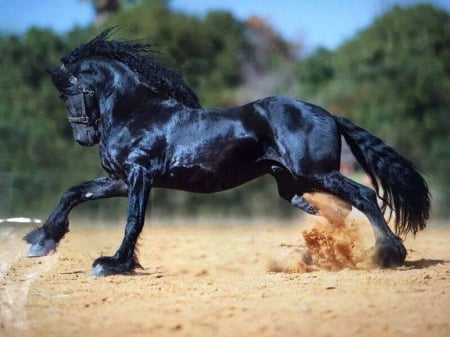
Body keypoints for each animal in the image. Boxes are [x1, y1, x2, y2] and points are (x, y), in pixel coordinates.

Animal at [23, 29, 428, 276]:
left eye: (70, 90)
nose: (83, 137)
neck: (138, 112)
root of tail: (328, 114)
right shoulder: (119, 180)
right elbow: (74, 193)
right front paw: (41, 242)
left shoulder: (140, 176)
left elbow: (133, 220)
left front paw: (111, 263)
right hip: (294, 185)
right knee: (337, 211)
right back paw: (319, 257)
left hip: (316, 172)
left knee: (364, 196)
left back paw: (388, 254)